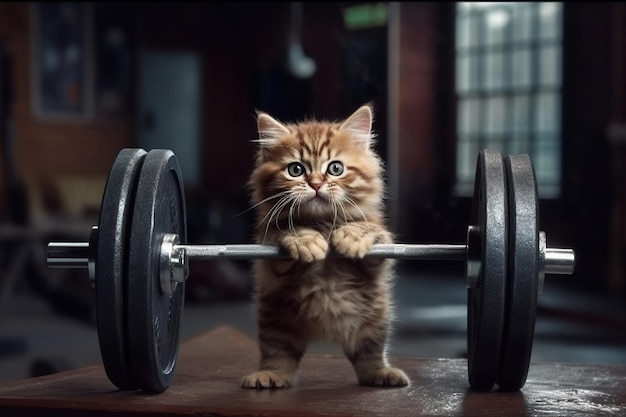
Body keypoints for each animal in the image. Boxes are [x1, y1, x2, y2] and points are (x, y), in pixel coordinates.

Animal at [240, 103, 410, 386]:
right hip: (276, 320)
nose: (316, 184)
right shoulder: (267, 248)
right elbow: (287, 231)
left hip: (376, 318)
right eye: (296, 170)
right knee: (279, 356)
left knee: (369, 356)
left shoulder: (378, 253)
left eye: (336, 169)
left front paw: (351, 237)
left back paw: (382, 373)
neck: (323, 223)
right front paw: (307, 241)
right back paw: (270, 375)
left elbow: (370, 230)